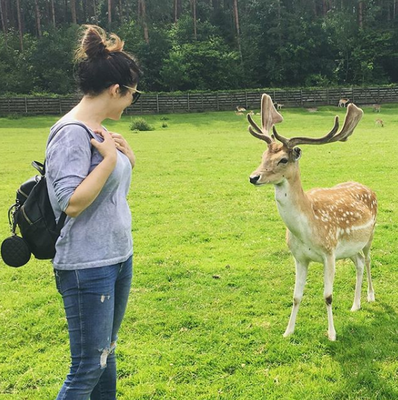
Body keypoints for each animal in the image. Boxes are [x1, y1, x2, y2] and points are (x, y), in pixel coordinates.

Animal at [249, 94, 376, 340]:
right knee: (358, 263)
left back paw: (371, 296)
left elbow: (328, 296)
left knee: (367, 260)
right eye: (263, 155)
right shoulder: (299, 257)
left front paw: (332, 335)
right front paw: (288, 332)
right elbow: (296, 296)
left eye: (283, 160)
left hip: (369, 236)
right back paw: (355, 305)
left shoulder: (329, 253)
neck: (308, 229)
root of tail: (369, 188)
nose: (253, 177)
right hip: (349, 249)